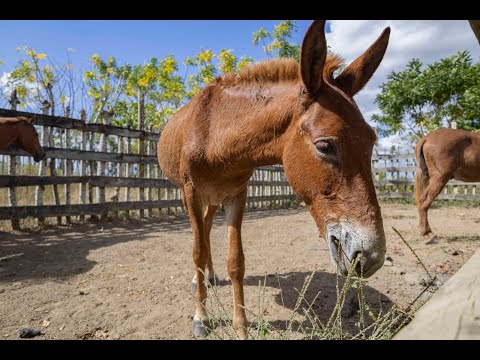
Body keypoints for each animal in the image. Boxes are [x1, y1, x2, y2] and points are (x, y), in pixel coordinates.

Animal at [158, 19, 390, 338]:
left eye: (371, 142)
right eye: (324, 146)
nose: (371, 257)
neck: (216, 134)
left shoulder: (236, 194)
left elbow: (236, 261)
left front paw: (241, 327)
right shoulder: (191, 192)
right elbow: (196, 251)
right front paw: (201, 318)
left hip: (215, 199)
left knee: (205, 227)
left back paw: (210, 276)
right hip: (196, 195)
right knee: (201, 236)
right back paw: (200, 281)